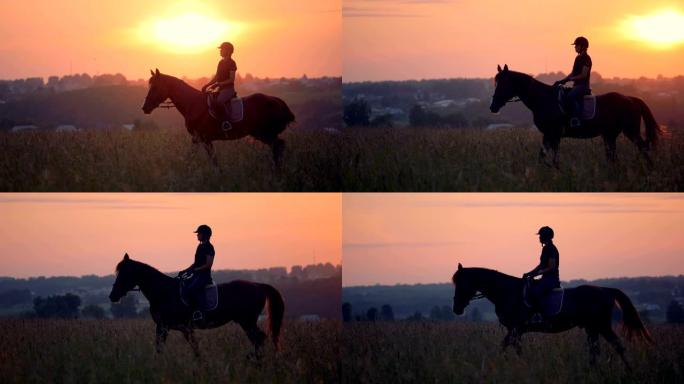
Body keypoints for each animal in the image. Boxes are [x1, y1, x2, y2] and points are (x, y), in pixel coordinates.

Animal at [108, 254, 284, 358]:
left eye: (124, 273)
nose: (112, 296)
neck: (163, 292)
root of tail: (258, 285)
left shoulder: (172, 327)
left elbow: (188, 347)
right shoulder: (165, 327)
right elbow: (168, 348)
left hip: (247, 321)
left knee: (259, 338)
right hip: (247, 322)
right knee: (258, 339)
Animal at [142, 69, 294, 168]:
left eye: (155, 87)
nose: (145, 108)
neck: (193, 104)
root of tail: (277, 102)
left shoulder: (202, 138)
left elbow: (206, 159)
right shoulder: (199, 139)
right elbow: (205, 158)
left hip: (264, 133)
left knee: (278, 146)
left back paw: (277, 172)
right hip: (264, 134)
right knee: (278, 146)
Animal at [448, 262, 652, 368]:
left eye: (462, 283)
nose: (456, 309)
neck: (507, 291)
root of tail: (606, 290)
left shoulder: (516, 328)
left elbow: (510, 347)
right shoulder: (515, 330)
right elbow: (507, 347)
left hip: (601, 325)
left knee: (617, 345)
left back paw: (629, 371)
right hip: (592, 327)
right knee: (596, 349)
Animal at [488, 63, 660, 167]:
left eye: (503, 83)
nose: (493, 107)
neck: (544, 98)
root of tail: (631, 99)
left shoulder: (553, 134)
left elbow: (553, 158)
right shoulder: (548, 135)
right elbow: (543, 156)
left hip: (630, 131)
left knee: (643, 148)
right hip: (609, 134)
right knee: (613, 156)